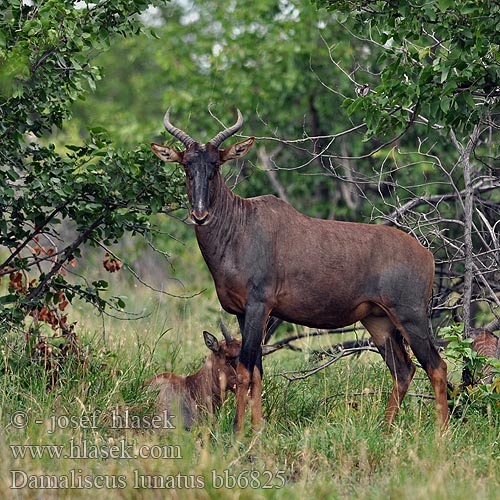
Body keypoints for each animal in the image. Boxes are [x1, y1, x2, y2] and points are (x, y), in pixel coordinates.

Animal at [151, 108, 450, 434]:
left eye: (216, 165)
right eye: (186, 165)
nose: (200, 215)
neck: (242, 225)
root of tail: (426, 254)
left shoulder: (259, 306)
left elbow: (245, 370)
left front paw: (240, 432)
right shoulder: (243, 312)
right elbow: (257, 371)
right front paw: (257, 430)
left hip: (410, 316)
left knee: (436, 366)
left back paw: (441, 435)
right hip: (379, 322)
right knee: (403, 370)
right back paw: (384, 430)